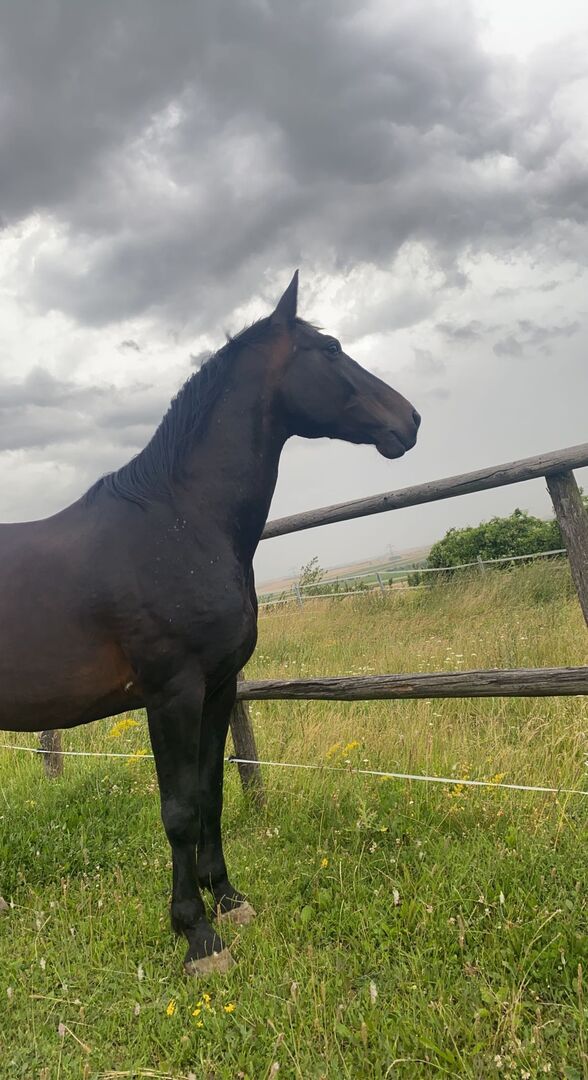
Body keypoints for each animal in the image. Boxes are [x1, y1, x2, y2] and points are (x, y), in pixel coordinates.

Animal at [0, 272, 420, 973]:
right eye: (331, 348)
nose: (409, 420)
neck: (181, 521)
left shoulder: (219, 687)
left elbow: (212, 794)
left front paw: (228, 899)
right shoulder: (172, 693)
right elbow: (178, 809)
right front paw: (196, 935)